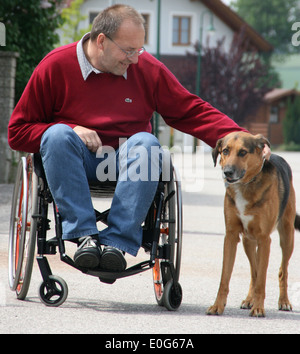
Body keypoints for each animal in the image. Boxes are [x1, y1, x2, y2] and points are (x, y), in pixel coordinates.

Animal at [207, 131, 298, 316]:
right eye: (225, 151)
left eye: (243, 152)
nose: (227, 172)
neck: (245, 185)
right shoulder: (231, 236)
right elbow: (225, 277)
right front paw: (217, 306)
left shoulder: (264, 239)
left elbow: (262, 279)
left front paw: (258, 308)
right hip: (248, 241)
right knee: (254, 270)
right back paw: (250, 299)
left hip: (287, 236)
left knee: (282, 271)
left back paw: (284, 301)